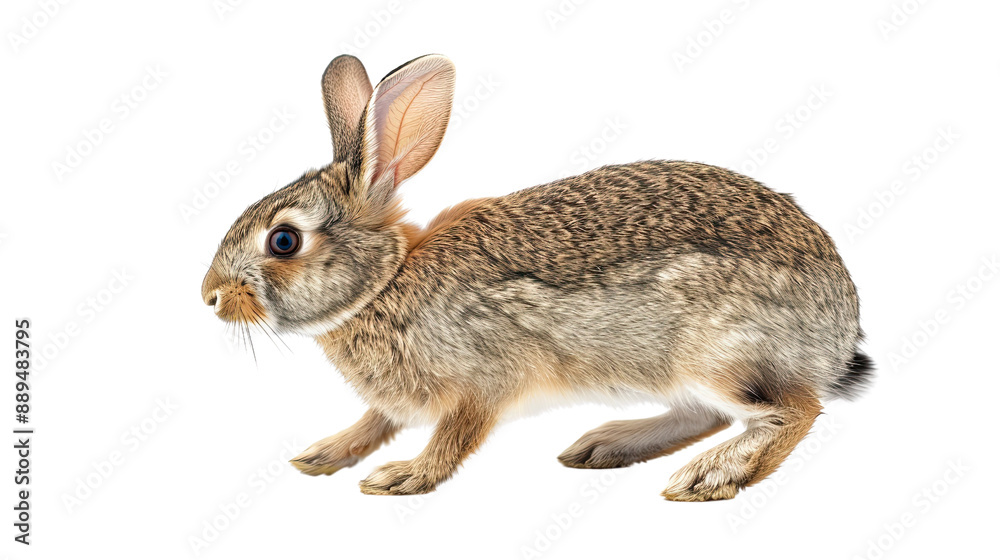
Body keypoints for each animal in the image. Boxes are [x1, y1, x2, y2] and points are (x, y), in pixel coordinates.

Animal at [201, 53, 872, 501]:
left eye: (284, 240)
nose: (209, 296)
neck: (384, 284)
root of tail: (839, 329)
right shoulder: (399, 401)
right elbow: (376, 421)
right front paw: (321, 455)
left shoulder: (483, 381)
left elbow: (454, 437)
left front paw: (402, 477)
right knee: (706, 416)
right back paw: (605, 445)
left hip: (718, 355)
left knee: (794, 411)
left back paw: (709, 475)